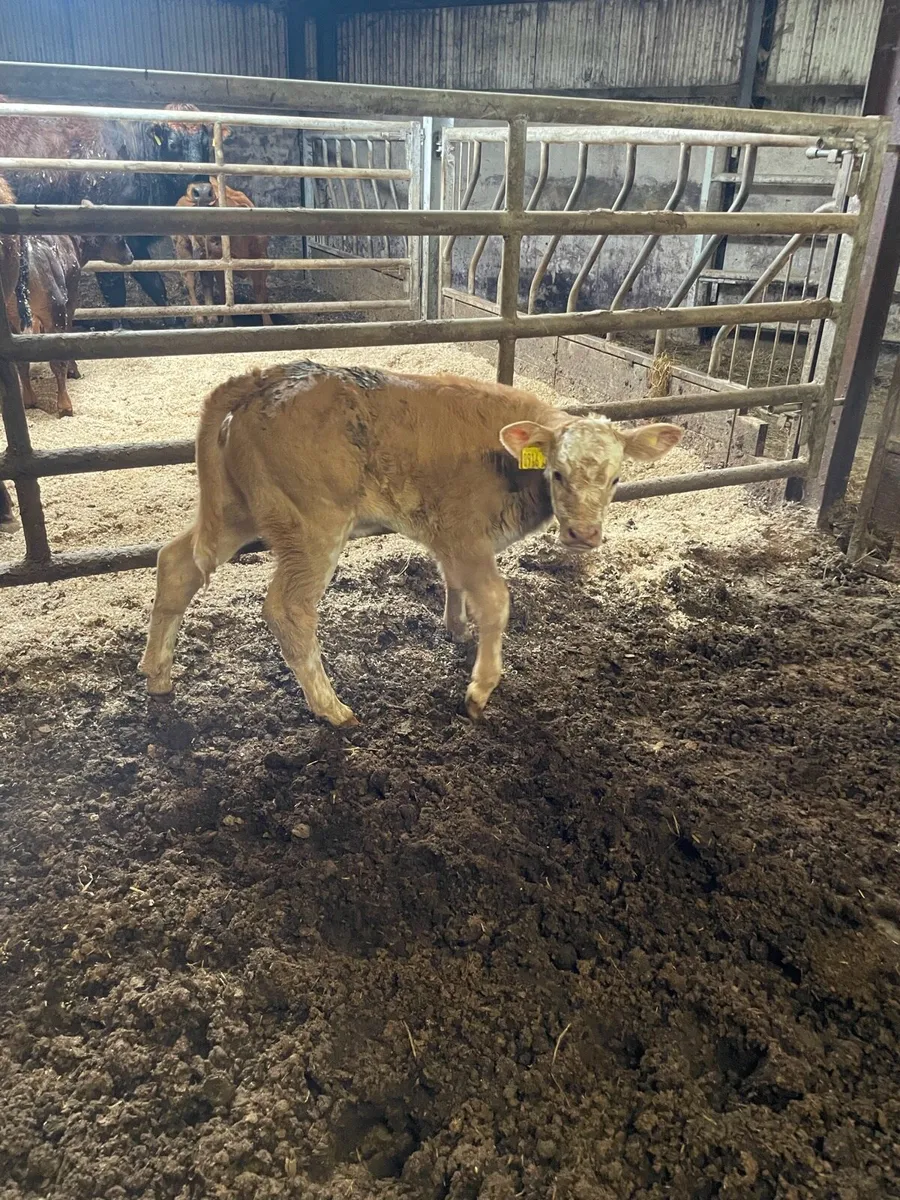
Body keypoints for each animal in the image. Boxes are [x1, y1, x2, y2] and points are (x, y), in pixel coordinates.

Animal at [0, 98, 222, 313]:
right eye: (173, 144)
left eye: (206, 144)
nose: (202, 190)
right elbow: (115, 293)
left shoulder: (134, 242)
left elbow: (155, 284)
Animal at [21, 203, 133, 416]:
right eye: (120, 238)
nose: (131, 256)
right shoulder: (71, 294)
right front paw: (74, 370)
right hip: (55, 307)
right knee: (57, 360)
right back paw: (65, 405)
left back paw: (29, 400)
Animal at [139, 362, 682, 725]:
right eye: (558, 473)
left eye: (616, 479)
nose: (583, 535)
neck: (507, 461)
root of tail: (265, 377)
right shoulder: (465, 533)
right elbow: (496, 601)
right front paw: (480, 689)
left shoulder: (450, 537)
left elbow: (454, 583)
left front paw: (457, 628)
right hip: (312, 526)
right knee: (288, 609)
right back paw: (332, 708)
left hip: (237, 510)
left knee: (177, 564)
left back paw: (158, 675)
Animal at [174, 179, 271, 325]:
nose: (211, 242)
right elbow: (224, 292)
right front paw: (227, 323)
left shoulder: (261, 261)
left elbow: (260, 294)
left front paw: (268, 323)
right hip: (184, 254)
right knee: (190, 284)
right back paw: (199, 318)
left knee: (206, 283)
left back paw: (212, 317)